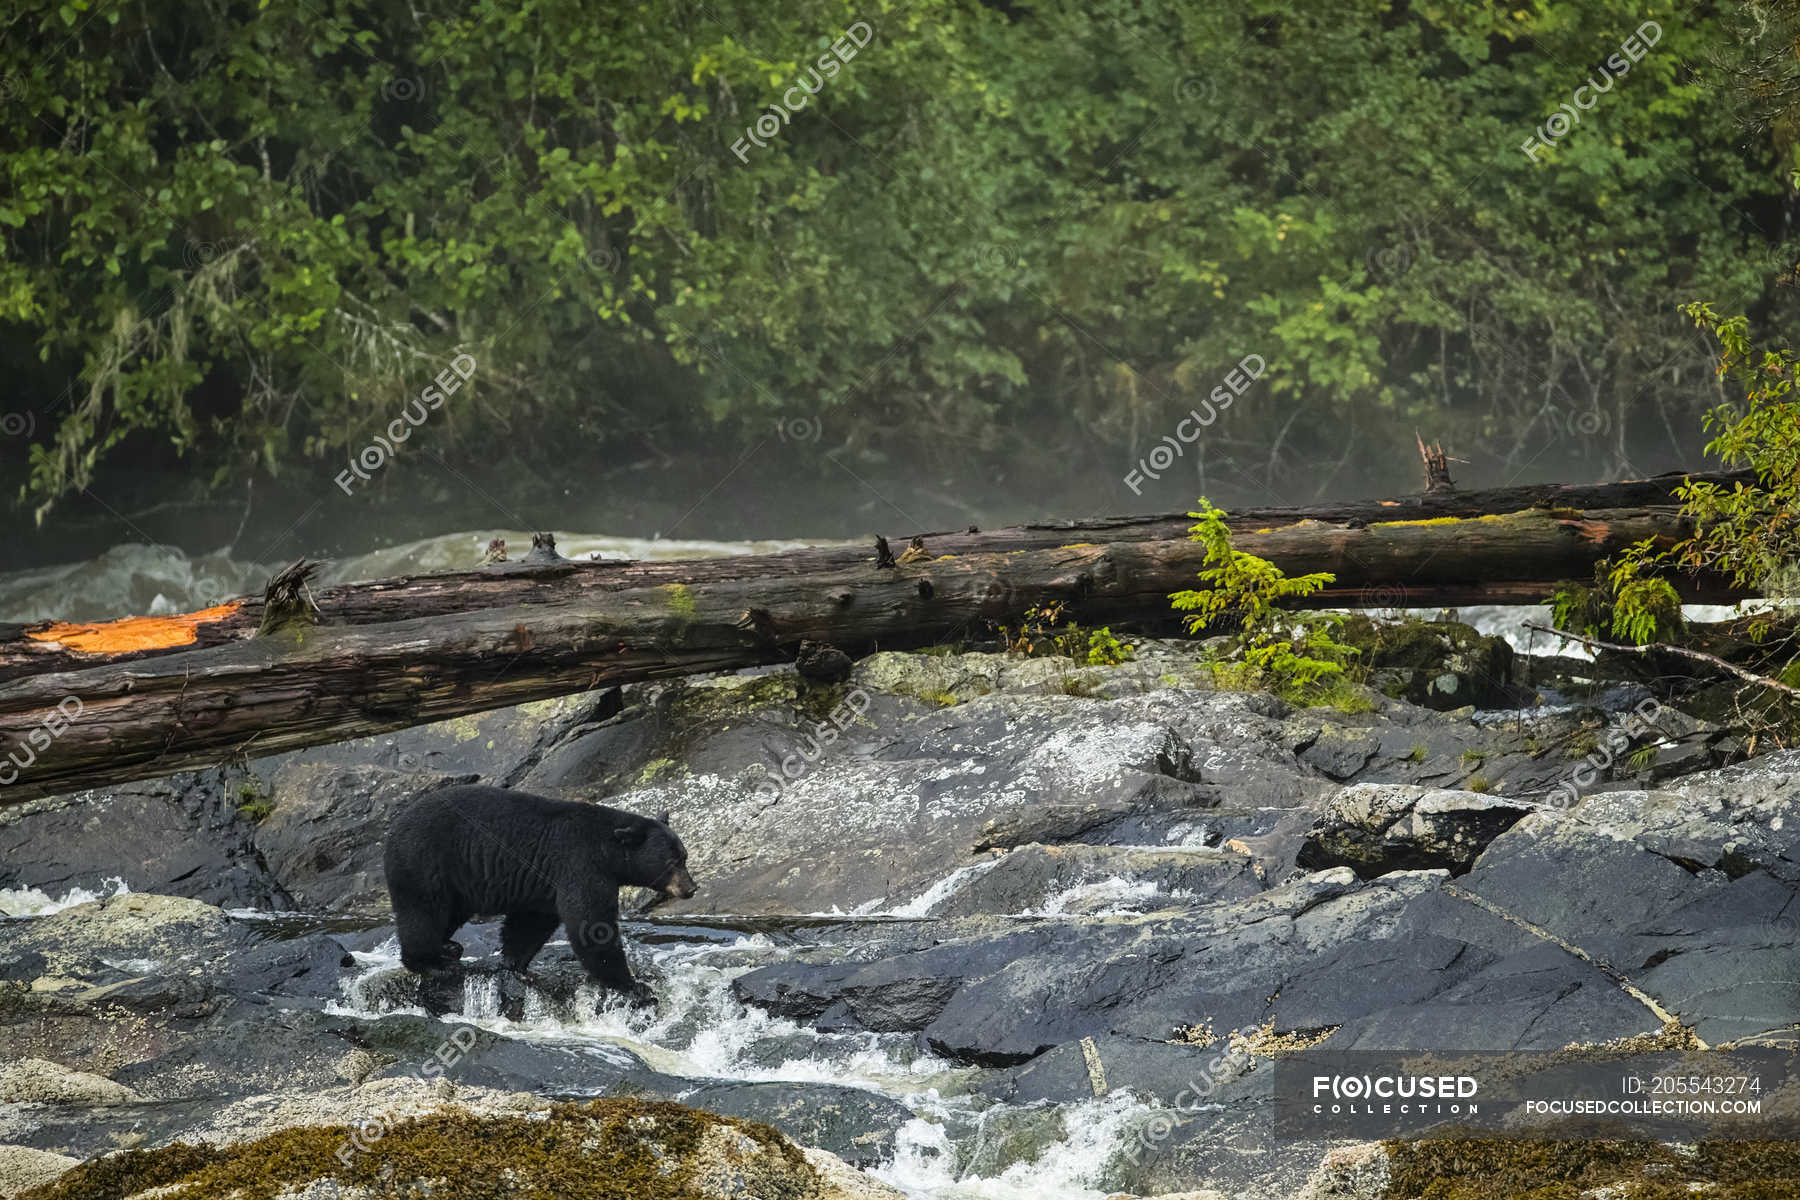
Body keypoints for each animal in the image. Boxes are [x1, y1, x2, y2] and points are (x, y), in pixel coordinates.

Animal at [379, 788, 694, 1007]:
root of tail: (393, 828)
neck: (609, 850)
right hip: (424, 861)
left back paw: (448, 947)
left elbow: (532, 921)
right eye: (672, 862)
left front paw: (516, 964)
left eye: (684, 856)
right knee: (423, 912)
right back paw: (431, 963)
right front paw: (633, 985)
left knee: (449, 913)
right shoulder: (581, 865)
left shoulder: (544, 881)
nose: (691, 888)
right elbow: (591, 925)